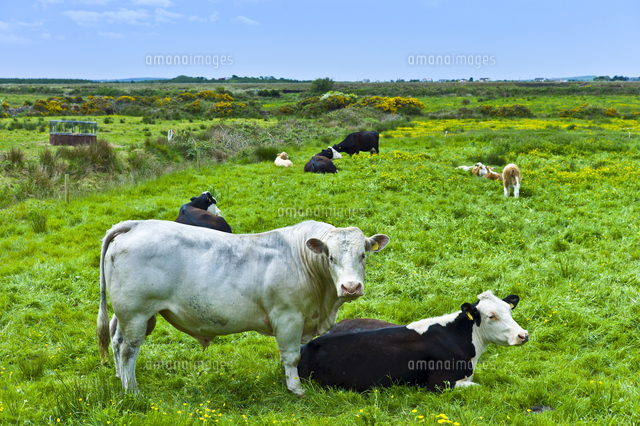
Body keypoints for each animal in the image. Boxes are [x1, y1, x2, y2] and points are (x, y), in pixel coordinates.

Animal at [97, 220, 390, 395]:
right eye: (330, 257)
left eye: (363, 255)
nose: (350, 287)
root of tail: (136, 224)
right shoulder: (288, 317)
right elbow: (291, 356)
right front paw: (295, 388)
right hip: (135, 313)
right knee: (128, 349)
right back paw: (131, 390)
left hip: (132, 316)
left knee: (116, 339)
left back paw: (118, 377)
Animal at [298, 291, 528, 392]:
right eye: (491, 316)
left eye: (509, 310)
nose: (523, 335)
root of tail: (306, 346)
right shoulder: (439, 383)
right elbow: (480, 386)